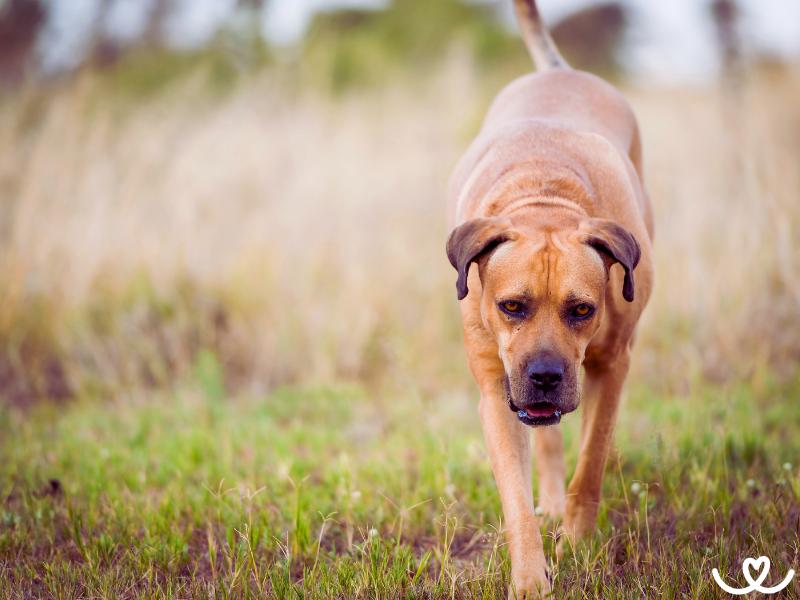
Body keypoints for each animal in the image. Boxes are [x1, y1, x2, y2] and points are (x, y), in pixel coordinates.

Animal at [446, 2, 652, 596]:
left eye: (582, 309)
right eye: (511, 306)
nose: (543, 376)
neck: (544, 198)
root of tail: (561, 70)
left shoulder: (612, 364)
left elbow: (593, 461)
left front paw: (577, 543)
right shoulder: (496, 391)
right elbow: (515, 496)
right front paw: (530, 576)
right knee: (548, 444)